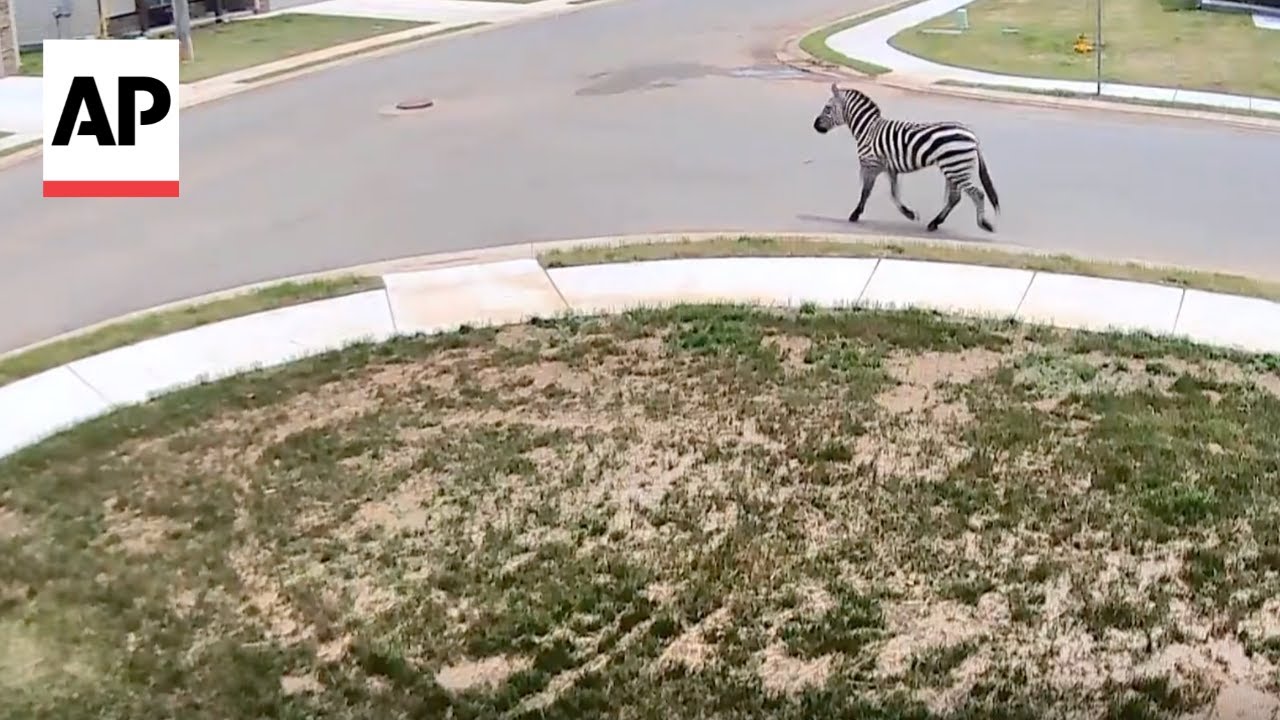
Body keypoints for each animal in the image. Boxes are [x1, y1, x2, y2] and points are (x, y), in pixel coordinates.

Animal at [812, 82, 1000, 233]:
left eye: (827, 108)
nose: (815, 126)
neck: (868, 129)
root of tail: (972, 136)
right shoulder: (890, 168)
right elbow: (894, 194)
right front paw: (910, 214)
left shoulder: (871, 165)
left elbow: (866, 191)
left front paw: (855, 214)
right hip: (953, 168)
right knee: (955, 198)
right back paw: (934, 223)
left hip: (956, 167)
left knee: (978, 194)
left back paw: (984, 224)